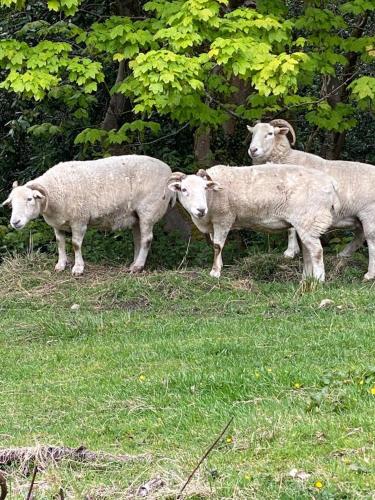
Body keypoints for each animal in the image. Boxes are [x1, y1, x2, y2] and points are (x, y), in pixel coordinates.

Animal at [1, 154, 175, 276]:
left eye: (30, 199)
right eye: (11, 203)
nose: (15, 222)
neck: (55, 189)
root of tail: (168, 171)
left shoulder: (79, 220)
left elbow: (75, 244)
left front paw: (78, 268)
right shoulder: (57, 224)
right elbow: (60, 243)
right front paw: (60, 265)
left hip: (149, 210)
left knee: (146, 239)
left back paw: (138, 267)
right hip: (136, 216)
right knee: (138, 239)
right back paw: (134, 264)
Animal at [168, 164, 340, 282]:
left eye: (205, 188)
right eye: (183, 189)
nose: (201, 210)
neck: (211, 199)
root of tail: (330, 185)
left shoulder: (224, 218)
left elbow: (217, 246)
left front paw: (215, 272)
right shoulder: (212, 223)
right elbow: (215, 245)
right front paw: (220, 265)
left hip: (310, 218)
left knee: (317, 251)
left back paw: (318, 280)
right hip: (305, 223)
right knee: (307, 252)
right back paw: (307, 279)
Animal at [247, 119, 375, 280]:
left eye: (270, 133)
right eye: (252, 133)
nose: (253, 150)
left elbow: (291, 228)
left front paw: (290, 251)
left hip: (369, 212)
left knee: (371, 240)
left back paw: (369, 274)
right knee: (360, 235)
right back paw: (343, 254)